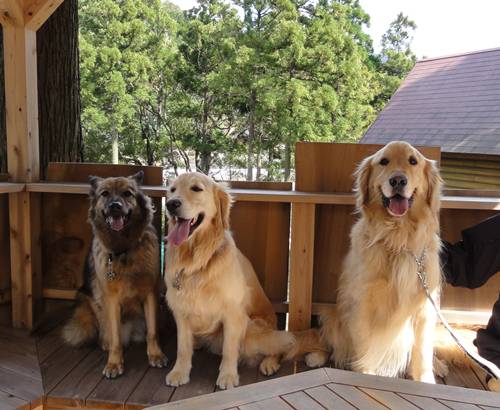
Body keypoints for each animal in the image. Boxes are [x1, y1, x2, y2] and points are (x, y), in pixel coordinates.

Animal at [62, 171, 167, 378]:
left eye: (127, 193)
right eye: (104, 193)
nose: (115, 206)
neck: (123, 249)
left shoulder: (150, 293)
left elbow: (152, 331)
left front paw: (155, 355)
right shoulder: (111, 299)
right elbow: (115, 337)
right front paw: (114, 363)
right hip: (87, 297)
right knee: (104, 329)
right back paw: (104, 341)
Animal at [164, 172, 322, 389]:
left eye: (196, 188)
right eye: (172, 190)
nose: (171, 204)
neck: (197, 260)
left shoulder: (233, 313)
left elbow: (230, 349)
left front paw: (228, 376)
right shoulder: (181, 311)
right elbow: (183, 347)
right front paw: (179, 371)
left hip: (253, 331)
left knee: (284, 343)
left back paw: (269, 363)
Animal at [306, 141, 444, 383]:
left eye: (413, 161)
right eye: (384, 161)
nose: (398, 180)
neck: (399, 239)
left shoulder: (424, 308)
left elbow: (422, 353)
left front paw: (425, 380)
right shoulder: (363, 303)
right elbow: (365, 348)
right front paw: (366, 374)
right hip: (329, 313)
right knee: (332, 343)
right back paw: (316, 356)